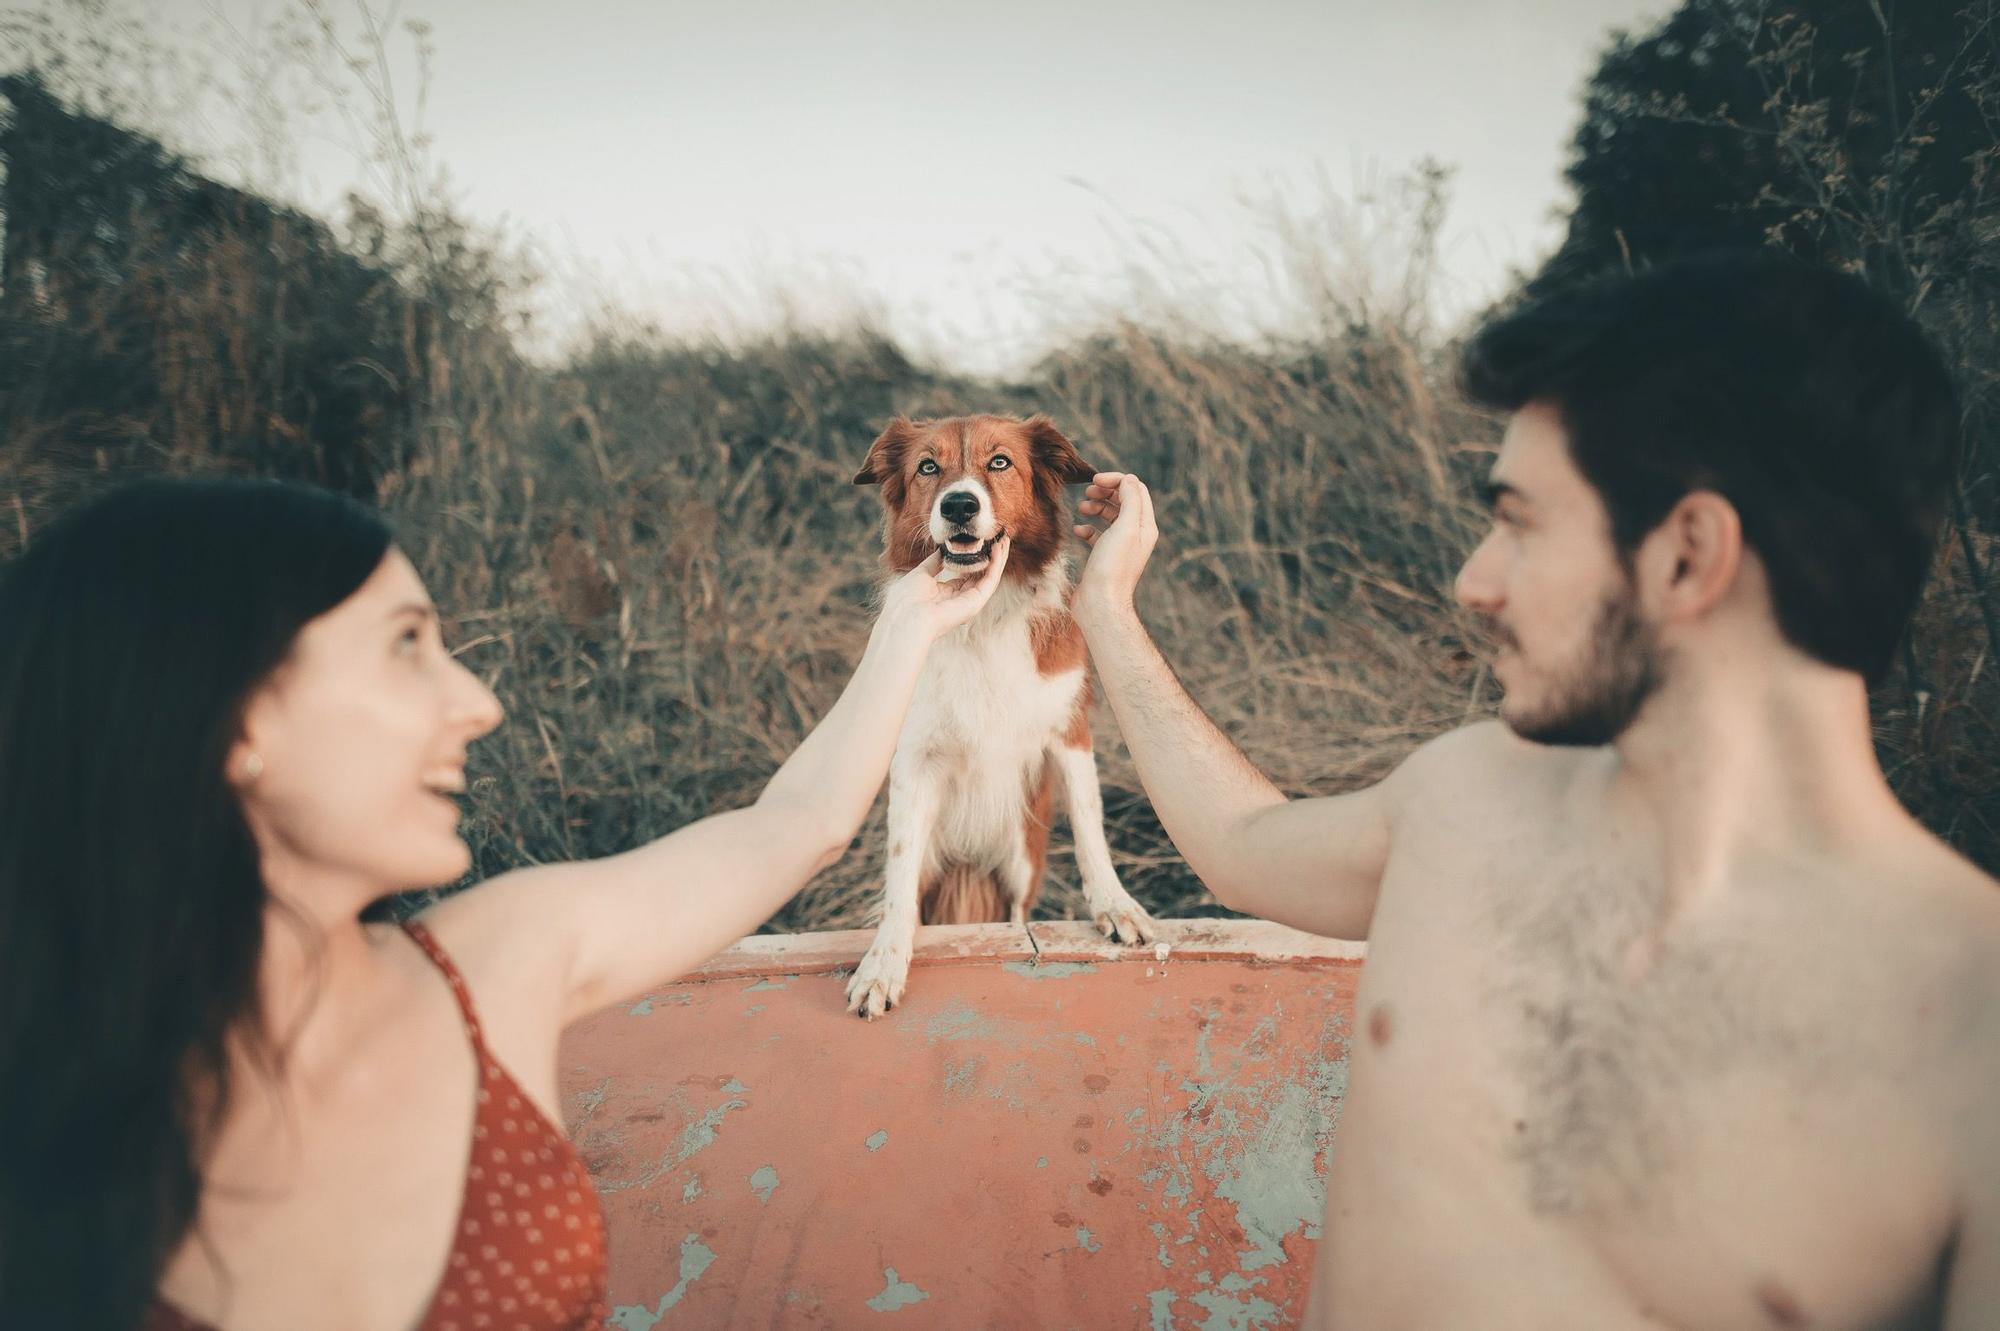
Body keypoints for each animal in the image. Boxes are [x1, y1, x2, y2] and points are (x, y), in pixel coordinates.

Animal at [844, 409, 1160, 1011]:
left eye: (1000, 462)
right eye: (928, 467)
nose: (958, 506)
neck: (983, 617)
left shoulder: (1069, 730)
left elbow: (1090, 824)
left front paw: (1114, 904)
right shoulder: (913, 758)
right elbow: (898, 870)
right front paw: (883, 963)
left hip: (1017, 857)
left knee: (1015, 916)